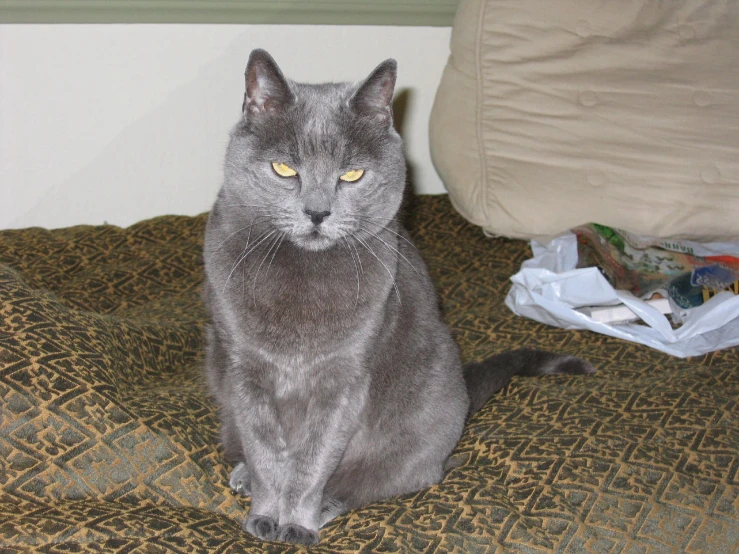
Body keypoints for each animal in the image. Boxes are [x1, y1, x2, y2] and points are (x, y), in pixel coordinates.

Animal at [204, 48, 596, 544]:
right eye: (284, 169)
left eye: (352, 175)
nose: (317, 213)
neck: (302, 277)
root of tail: (463, 397)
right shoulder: (243, 367)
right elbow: (266, 451)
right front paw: (265, 512)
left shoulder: (345, 377)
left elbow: (313, 459)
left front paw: (294, 523)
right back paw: (242, 475)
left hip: (421, 430)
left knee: (389, 480)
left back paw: (329, 503)